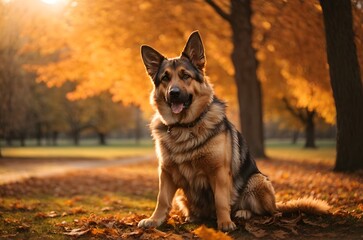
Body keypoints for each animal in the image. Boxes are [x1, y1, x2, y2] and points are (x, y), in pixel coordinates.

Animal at [137, 31, 330, 231]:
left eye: (185, 76)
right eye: (165, 78)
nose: (173, 93)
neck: (185, 126)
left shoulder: (219, 172)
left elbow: (221, 200)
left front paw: (225, 222)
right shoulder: (166, 172)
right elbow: (162, 199)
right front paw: (155, 220)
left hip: (257, 181)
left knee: (267, 212)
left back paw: (242, 212)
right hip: (185, 196)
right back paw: (193, 216)